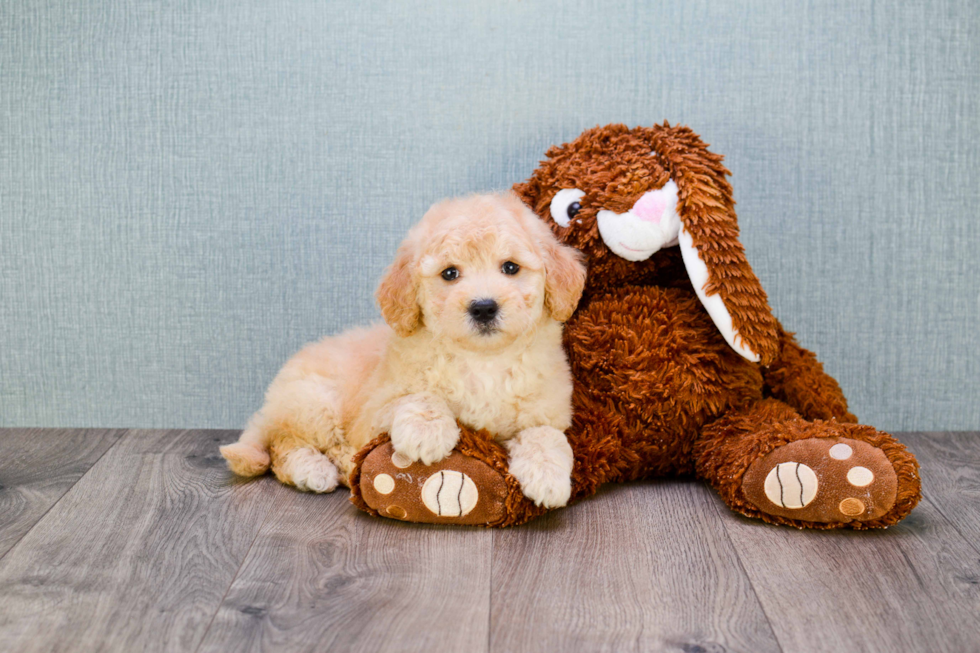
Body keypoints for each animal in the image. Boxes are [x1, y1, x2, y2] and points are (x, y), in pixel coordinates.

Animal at [222, 191, 584, 506]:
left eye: (510, 267)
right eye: (449, 273)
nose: (483, 307)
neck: (483, 361)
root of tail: (269, 405)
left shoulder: (547, 410)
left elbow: (546, 436)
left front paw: (548, 477)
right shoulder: (374, 411)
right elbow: (416, 397)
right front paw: (428, 431)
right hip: (314, 403)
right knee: (282, 445)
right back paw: (317, 468)